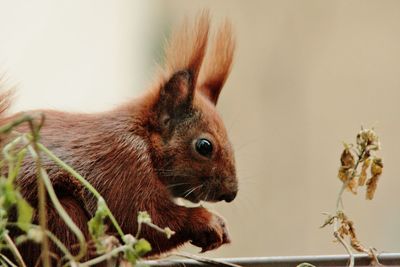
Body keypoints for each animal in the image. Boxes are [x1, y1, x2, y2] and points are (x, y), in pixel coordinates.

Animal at [0, 11, 238, 266]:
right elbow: (143, 221)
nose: (231, 193)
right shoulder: (123, 166)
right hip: (53, 215)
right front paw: (208, 221)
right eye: (204, 146)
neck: (145, 140)